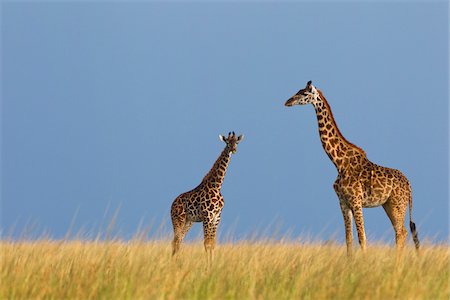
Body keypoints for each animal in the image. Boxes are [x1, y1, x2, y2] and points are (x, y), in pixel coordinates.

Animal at [171, 132, 243, 262]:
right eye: (227, 142)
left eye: (237, 142)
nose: (234, 149)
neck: (217, 186)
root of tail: (172, 205)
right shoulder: (207, 216)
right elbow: (206, 243)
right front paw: (208, 265)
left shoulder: (217, 217)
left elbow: (212, 243)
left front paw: (212, 264)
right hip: (178, 219)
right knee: (176, 240)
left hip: (188, 222)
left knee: (179, 240)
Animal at [286, 81, 420, 254]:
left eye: (303, 93)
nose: (287, 101)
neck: (339, 163)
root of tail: (409, 186)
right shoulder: (343, 202)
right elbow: (348, 239)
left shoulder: (356, 201)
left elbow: (362, 237)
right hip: (388, 205)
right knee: (402, 232)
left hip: (398, 204)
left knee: (401, 232)